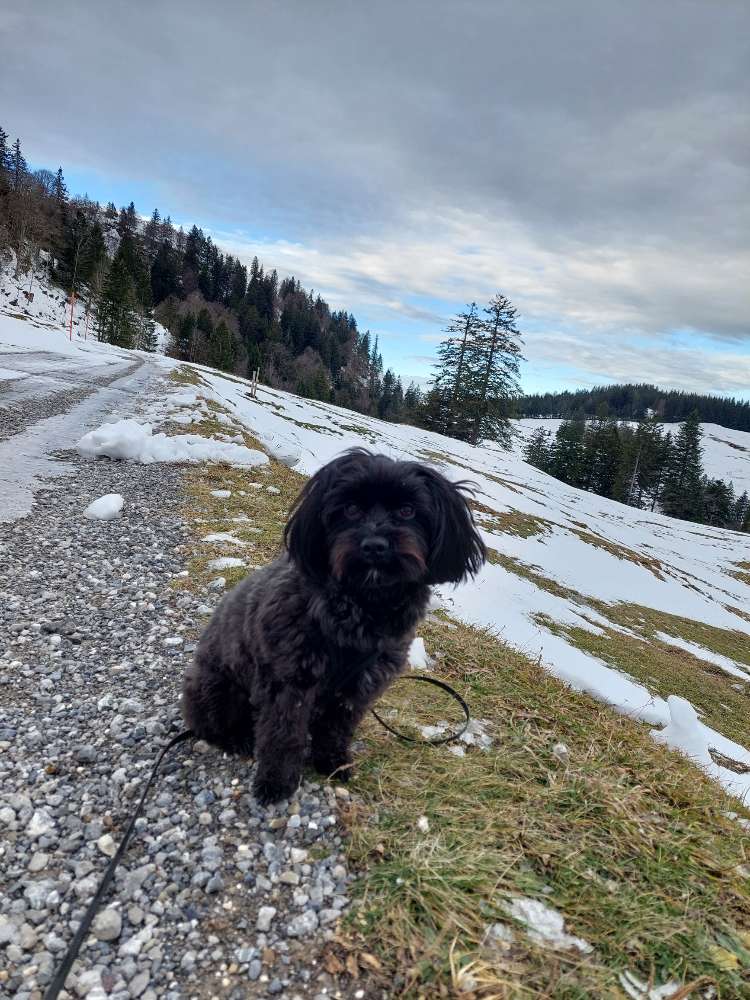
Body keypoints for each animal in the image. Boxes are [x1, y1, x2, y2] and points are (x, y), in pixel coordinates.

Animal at [182, 452, 488, 804]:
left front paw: (333, 763)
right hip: (219, 688)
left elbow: (336, 730)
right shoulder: (290, 683)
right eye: (351, 509)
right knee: (211, 725)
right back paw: (238, 739)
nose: (374, 545)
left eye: (407, 511)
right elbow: (284, 735)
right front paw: (276, 781)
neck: (363, 607)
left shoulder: (358, 688)